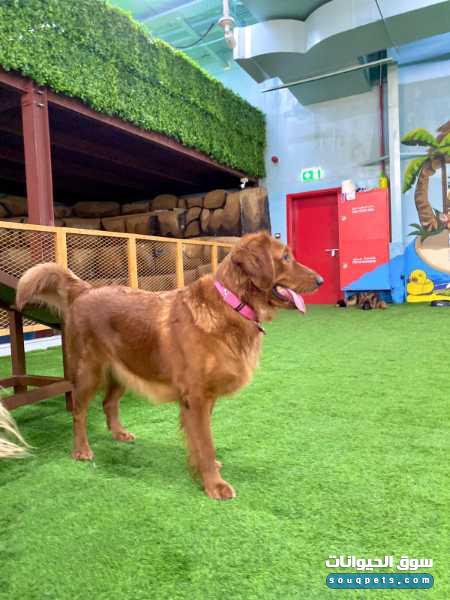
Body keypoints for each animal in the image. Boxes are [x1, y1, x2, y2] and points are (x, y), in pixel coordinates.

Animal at [16, 231, 322, 499]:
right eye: (285, 256)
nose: (320, 280)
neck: (231, 304)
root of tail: (85, 290)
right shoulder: (196, 398)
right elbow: (206, 444)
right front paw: (214, 485)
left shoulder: (204, 399)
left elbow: (200, 441)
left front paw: (202, 470)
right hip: (89, 372)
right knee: (79, 413)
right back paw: (81, 450)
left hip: (124, 369)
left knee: (108, 403)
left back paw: (118, 433)